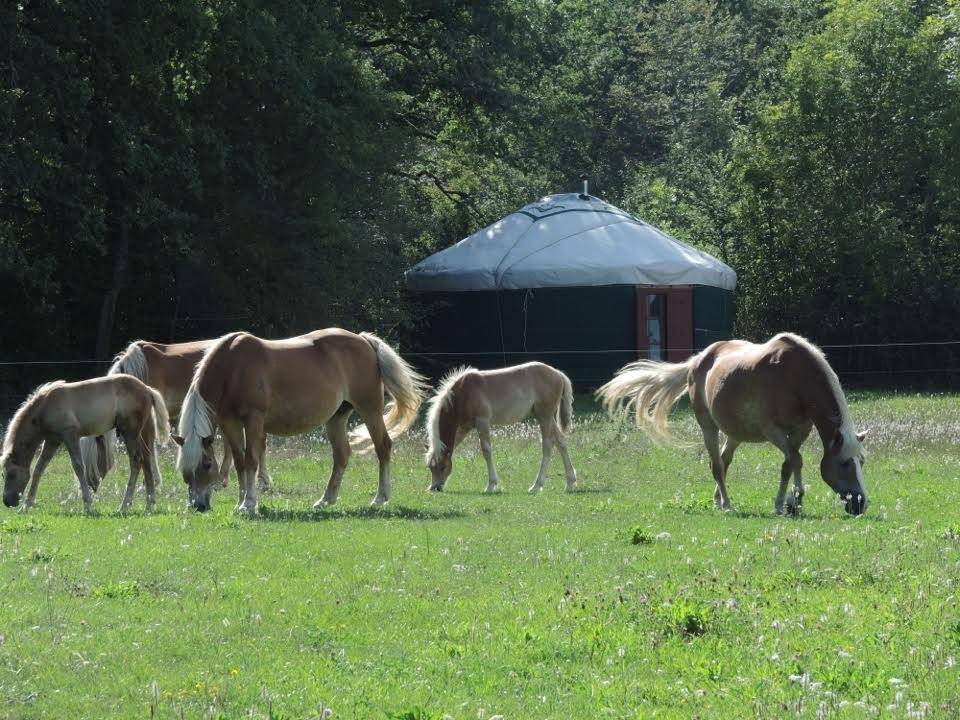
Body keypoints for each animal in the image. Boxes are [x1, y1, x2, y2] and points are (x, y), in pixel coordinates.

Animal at [2, 375, 169, 512]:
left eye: (10, 474)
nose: (7, 502)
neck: (46, 406)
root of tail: (147, 390)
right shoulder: (52, 441)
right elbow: (39, 468)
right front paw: (26, 506)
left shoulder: (70, 436)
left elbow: (78, 467)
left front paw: (87, 505)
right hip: (142, 432)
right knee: (147, 458)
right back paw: (150, 504)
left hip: (129, 432)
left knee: (136, 461)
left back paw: (124, 506)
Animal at [79, 339, 271, 491]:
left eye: (91, 457)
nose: (89, 485)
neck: (140, 371)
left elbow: (149, 447)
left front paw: (151, 482)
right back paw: (224, 480)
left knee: (257, 443)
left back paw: (262, 481)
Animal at [174, 329, 427, 513]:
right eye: (184, 470)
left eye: (207, 464)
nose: (198, 506)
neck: (233, 367)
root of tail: (363, 340)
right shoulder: (230, 423)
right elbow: (239, 462)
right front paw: (240, 502)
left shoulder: (253, 420)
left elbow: (252, 460)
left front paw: (249, 504)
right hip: (336, 418)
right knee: (341, 455)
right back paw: (326, 499)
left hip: (370, 410)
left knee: (383, 447)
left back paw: (380, 498)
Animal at [425, 363, 577, 494]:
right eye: (430, 468)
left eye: (442, 467)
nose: (435, 488)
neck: (462, 394)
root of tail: (558, 374)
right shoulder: (465, 427)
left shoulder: (482, 422)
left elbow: (486, 450)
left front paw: (491, 485)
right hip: (546, 417)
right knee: (561, 442)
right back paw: (570, 482)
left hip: (544, 416)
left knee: (547, 445)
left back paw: (536, 486)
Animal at [597, 333, 868, 515]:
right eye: (845, 463)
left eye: (862, 462)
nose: (862, 503)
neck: (794, 376)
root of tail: (698, 360)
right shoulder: (773, 431)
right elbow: (796, 460)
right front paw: (794, 501)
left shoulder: (800, 431)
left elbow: (788, 464)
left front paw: (787, 503)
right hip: (708, 426)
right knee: (717, 466)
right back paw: (727, 505)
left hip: (735, 433)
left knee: (724, 462)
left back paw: (718, 500)